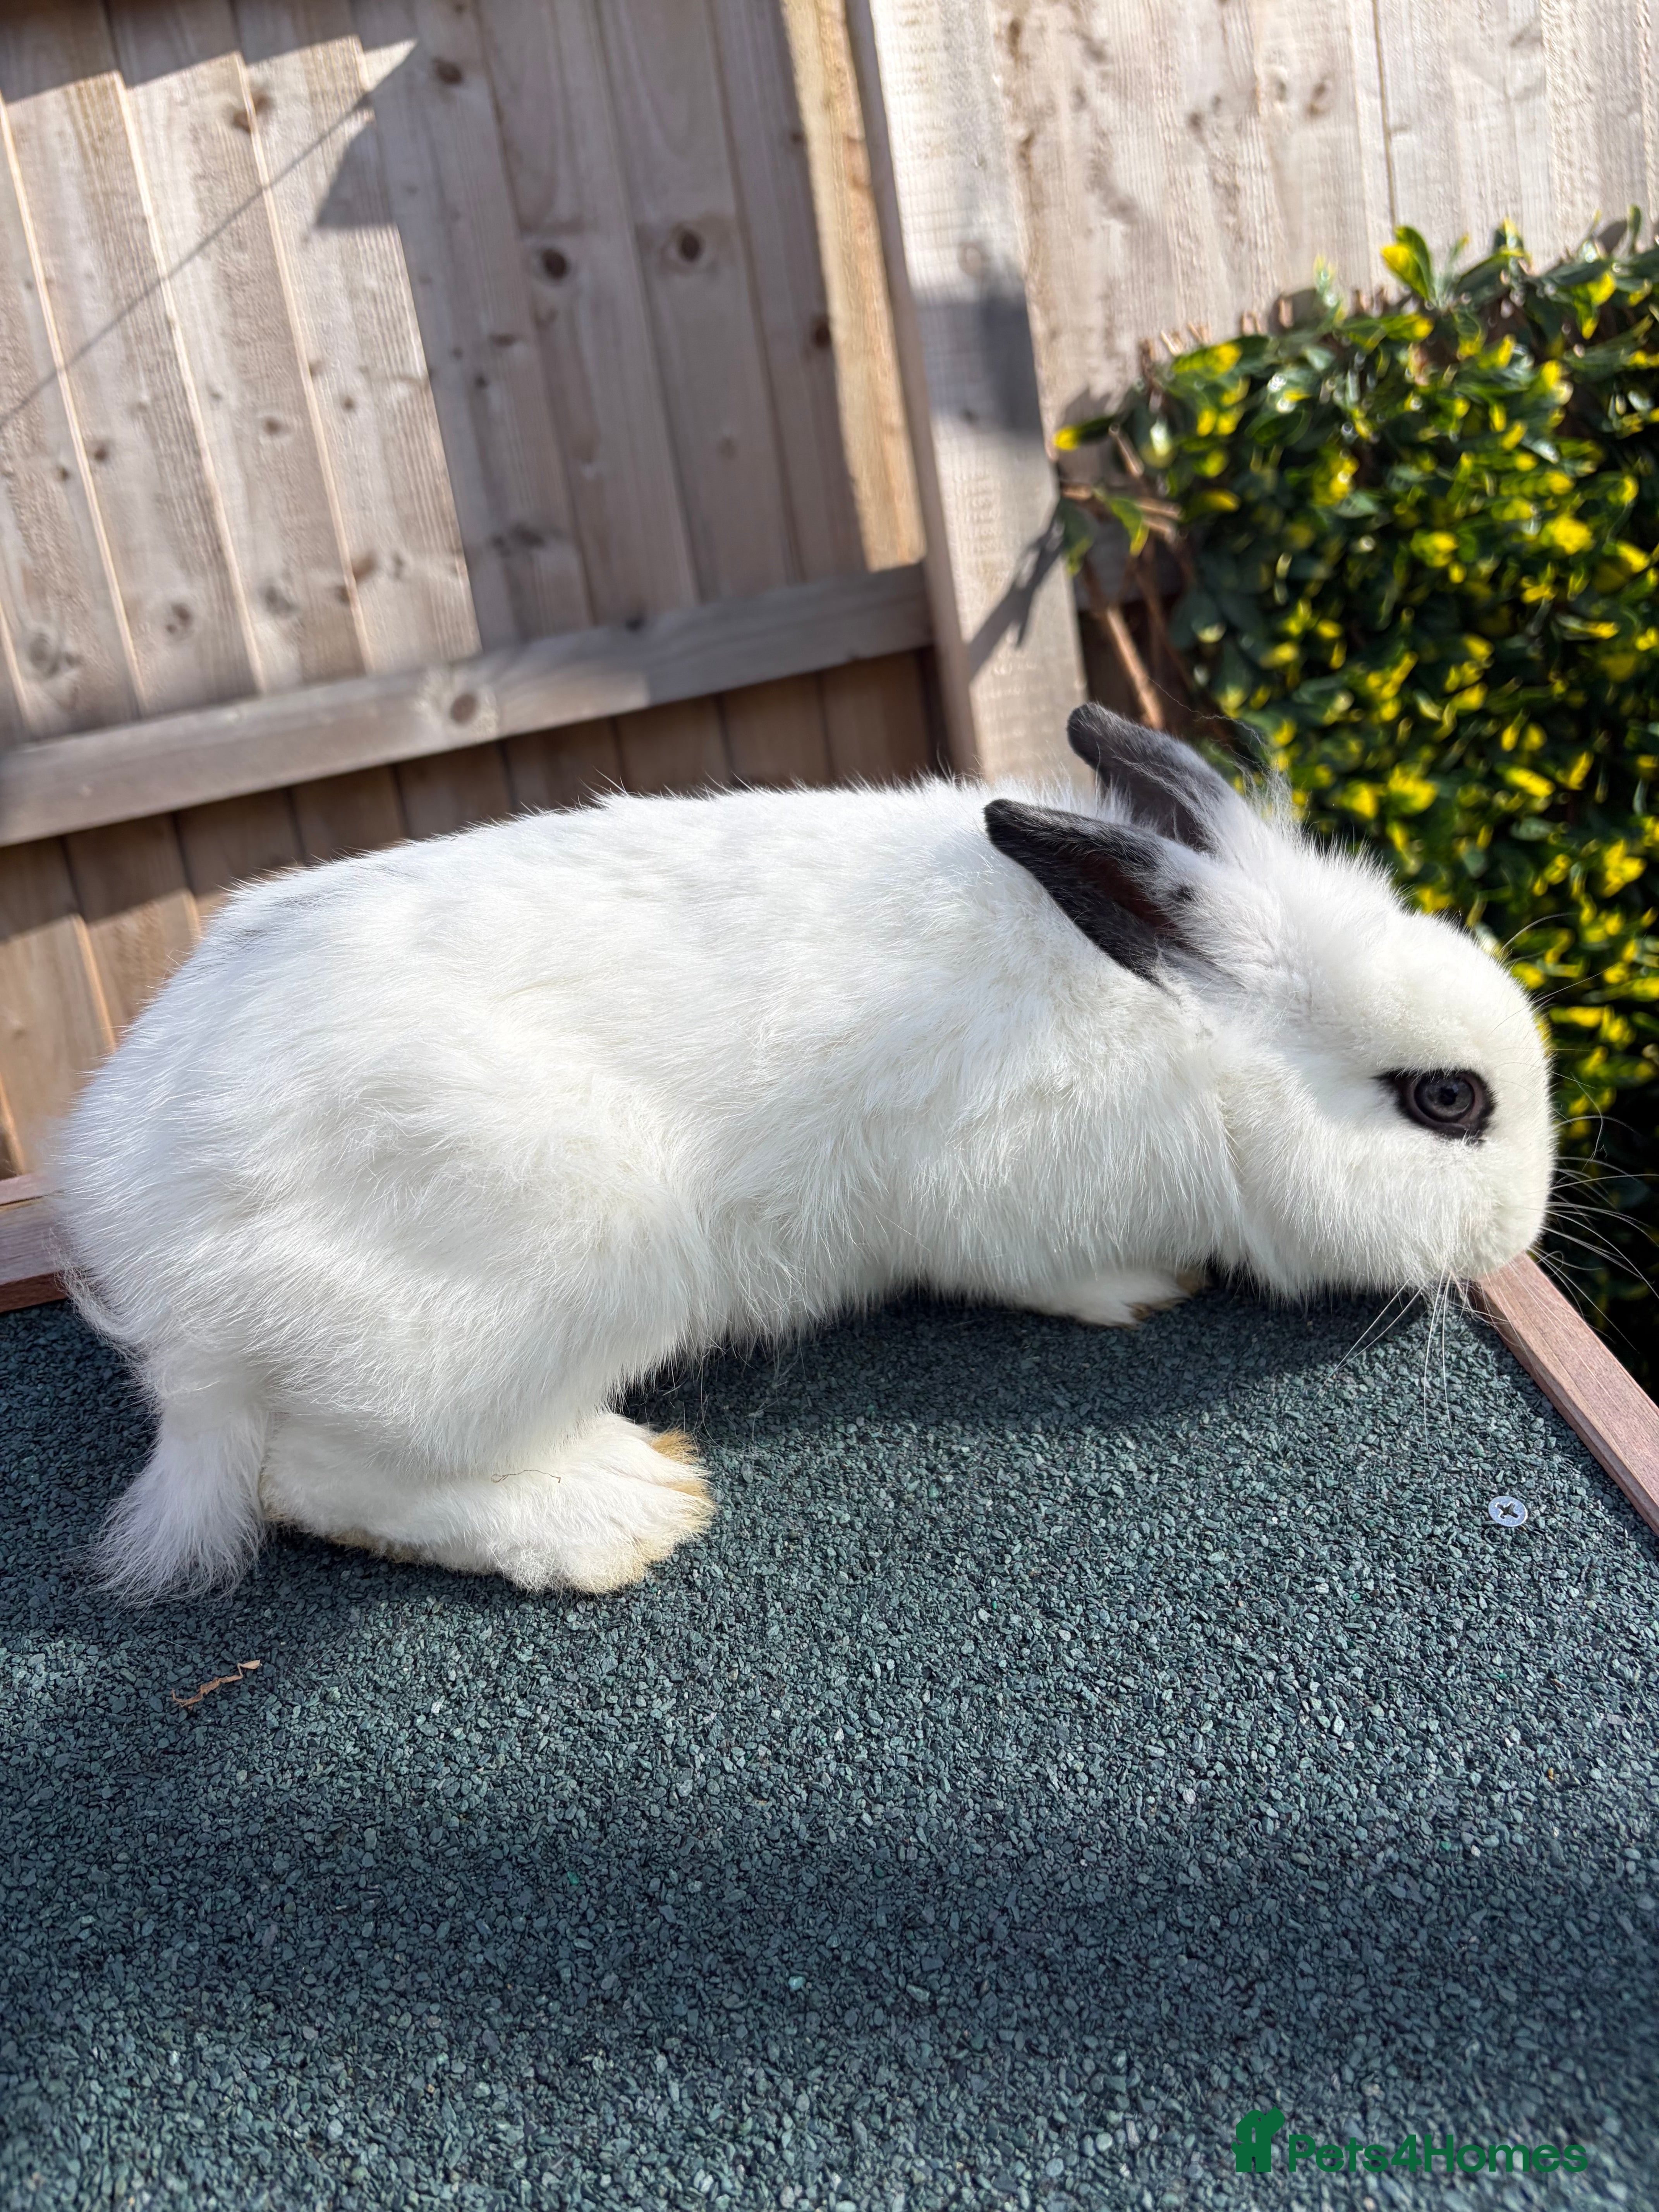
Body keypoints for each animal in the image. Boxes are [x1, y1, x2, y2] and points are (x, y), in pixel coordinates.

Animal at [53, 706, 1553, 1602]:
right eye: (1445, 1100)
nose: (1524, 1233)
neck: (1193, 1036)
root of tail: (158, 1274)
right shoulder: (994, 1194)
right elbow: (1038, 1273)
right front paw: (1143, 1291)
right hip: (536, 1278)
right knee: (325, 1477)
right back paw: (620, 1512)